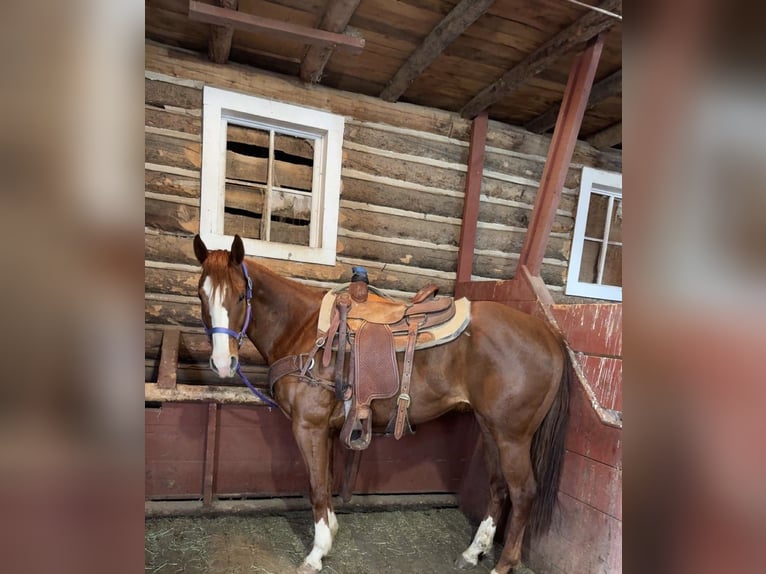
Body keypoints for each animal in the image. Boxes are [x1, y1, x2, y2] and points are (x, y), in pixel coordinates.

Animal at [192, 234, 570, 574]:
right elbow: (327, 481)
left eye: (240, 295)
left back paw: (503, 565)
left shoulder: (308, 426)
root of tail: (551, 336)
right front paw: (330, 534)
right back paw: (472, 552)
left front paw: (316, 554)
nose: (223, 363)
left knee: (523, 493)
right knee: (498, 486)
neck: (304, 329)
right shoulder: (327, 430)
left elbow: (316, 486)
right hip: (489, 428)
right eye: (201, 295)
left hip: (512, 437)